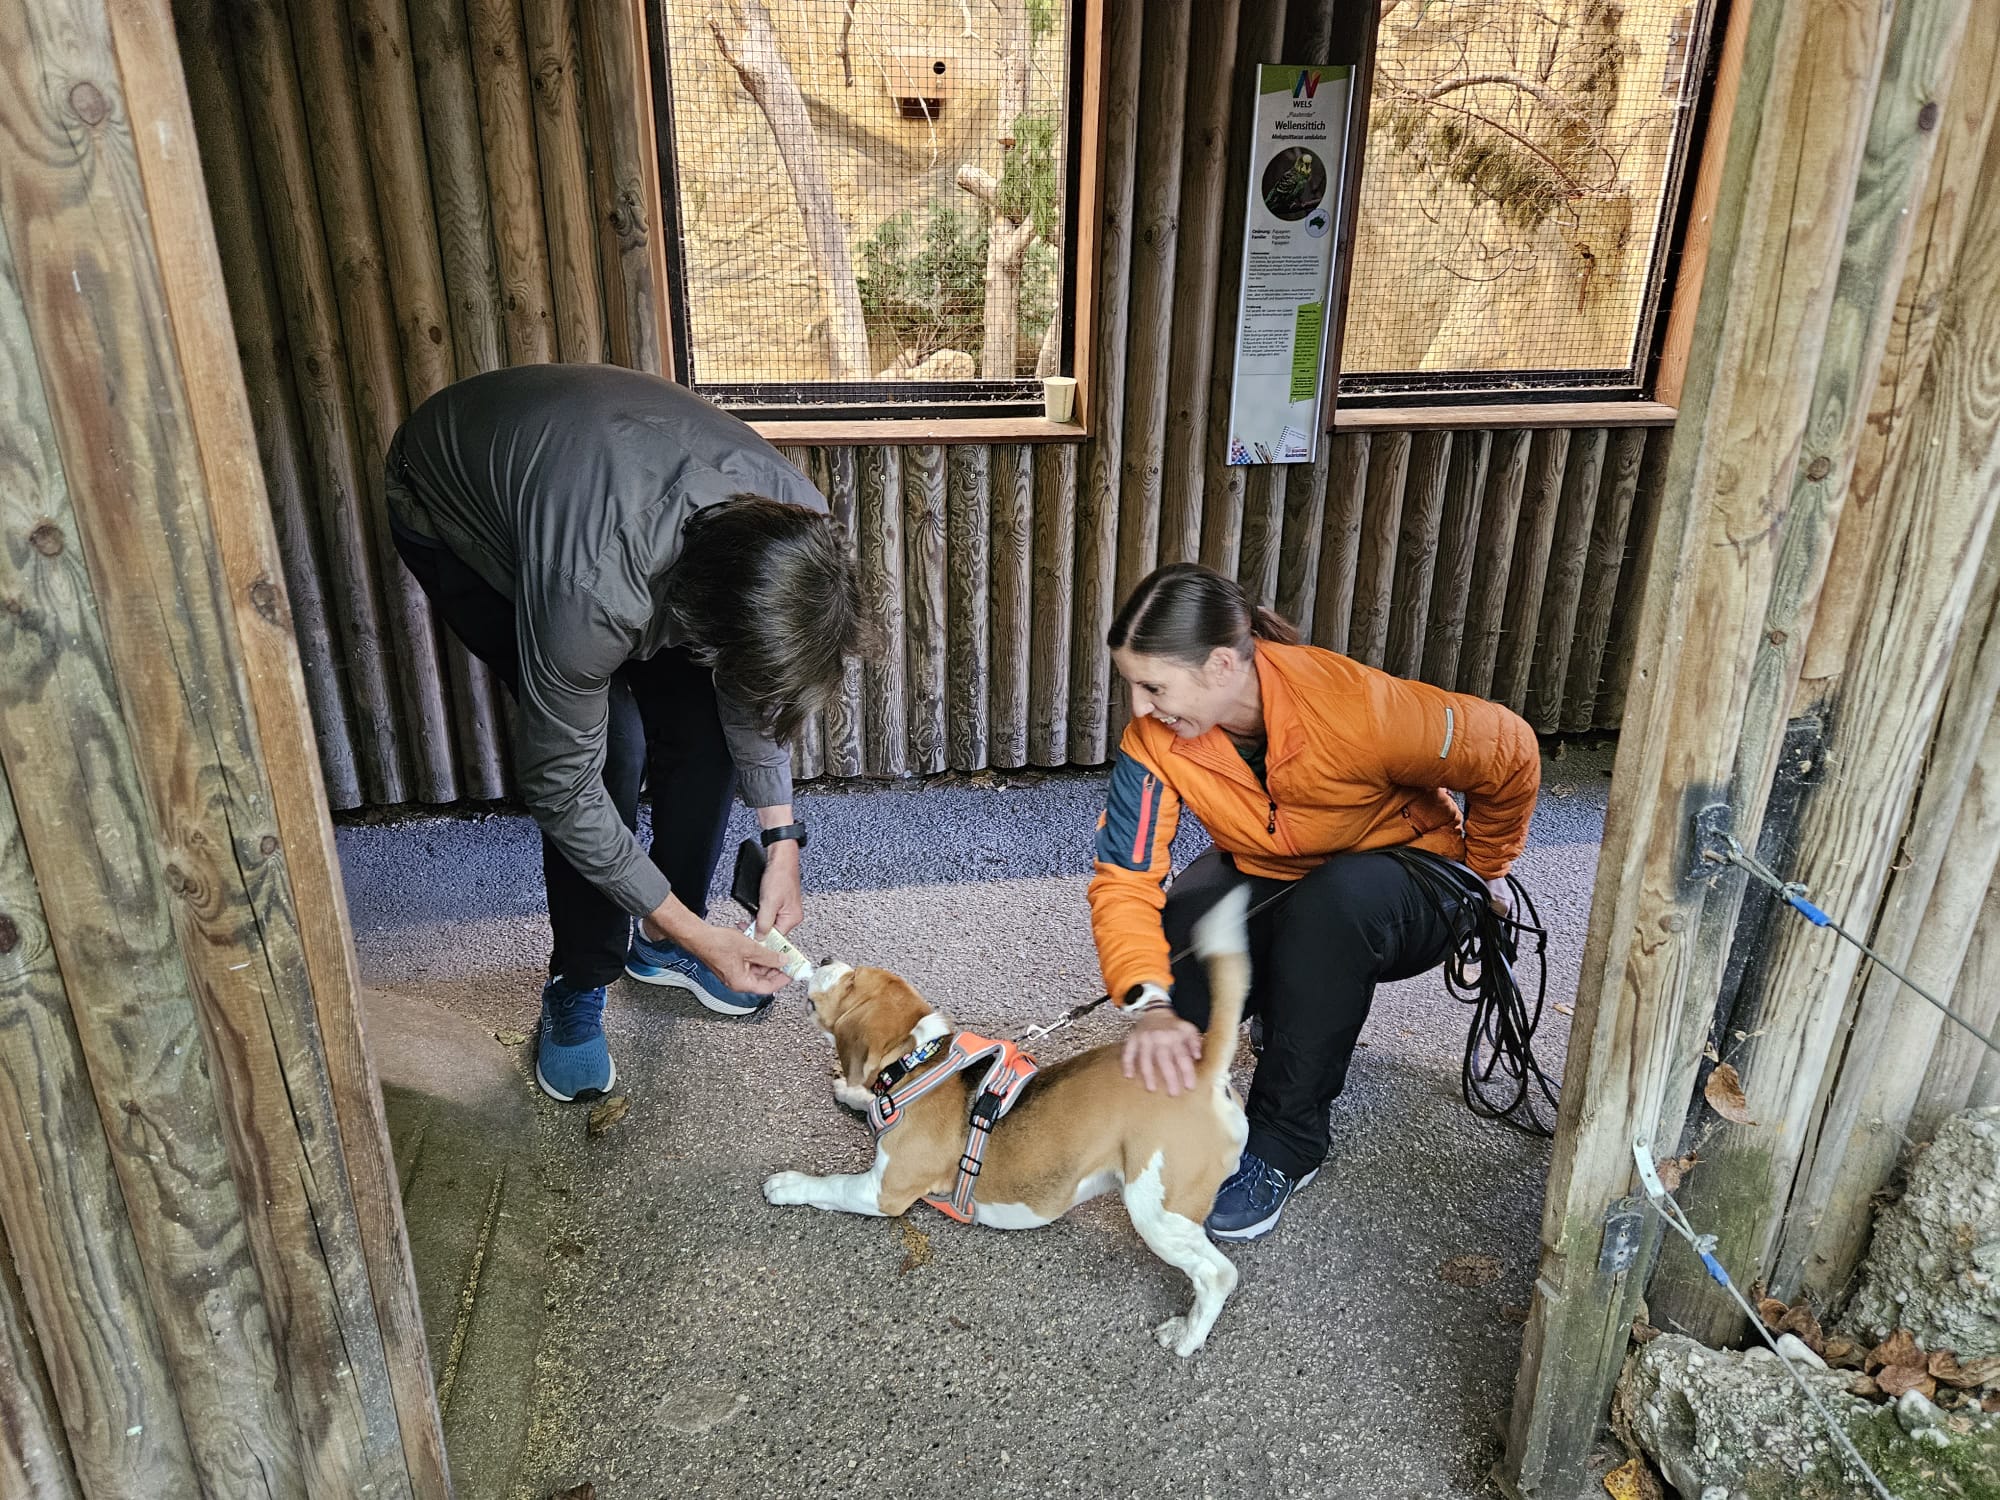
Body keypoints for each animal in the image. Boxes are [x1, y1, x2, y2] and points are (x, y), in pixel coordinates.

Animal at [763, 885, 1253, 1355]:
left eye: (850, 982)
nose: (826, 959)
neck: (919, 1061)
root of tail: (1203, 1072)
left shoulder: (884, 1192)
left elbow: (832, 1186)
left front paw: (789, 1184)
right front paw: (853, 1092)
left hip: (1157, 1209)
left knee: (1218, 1274)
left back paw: (1187, 1335)